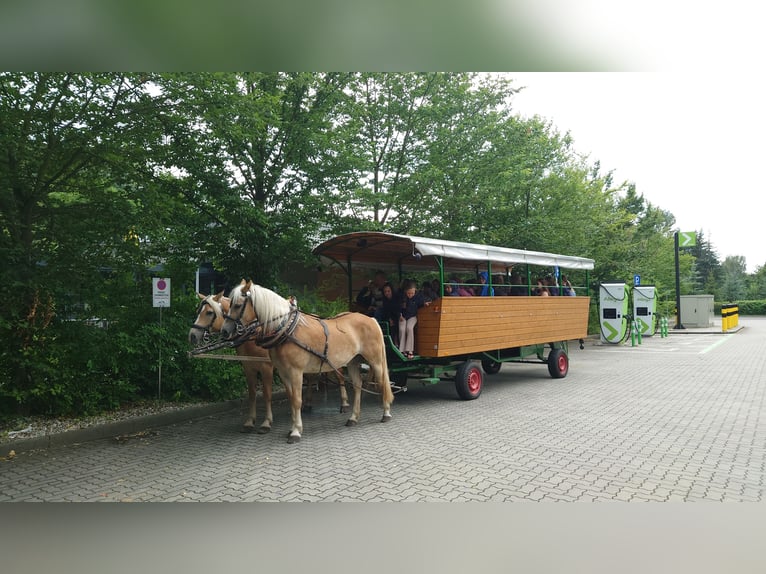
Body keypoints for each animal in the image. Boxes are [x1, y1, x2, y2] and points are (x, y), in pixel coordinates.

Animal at [219, 280, 392, 446]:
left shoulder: (296, 372)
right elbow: (291, 399)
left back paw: (386, 413)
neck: (286, 330)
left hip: (376, 361)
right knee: (357, 385)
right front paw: (292, 428)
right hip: (352, 362)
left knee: (382, 383)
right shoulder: (284, 372)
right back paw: (353, 418)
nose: (224, 331)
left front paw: (296, 432)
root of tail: (371, 319)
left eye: (237, 305)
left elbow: (297, 400)